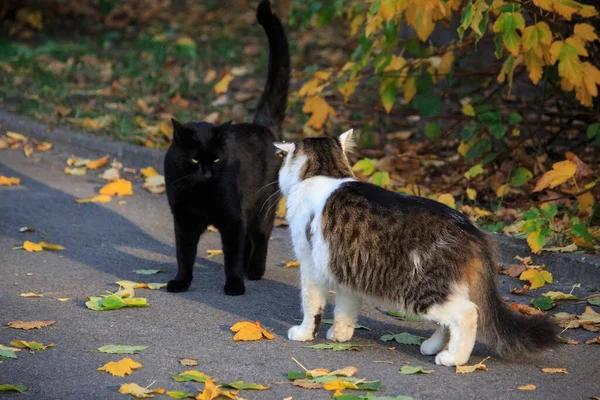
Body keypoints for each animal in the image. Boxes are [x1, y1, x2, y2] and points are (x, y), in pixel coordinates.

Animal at [163, 0, 288, 294]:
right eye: (195, 160)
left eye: (218, 160)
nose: (208, 174)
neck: (200, 193)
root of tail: (262, 127)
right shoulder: (184, 222)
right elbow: (184, 256)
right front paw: (180, 282)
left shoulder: (232, 220)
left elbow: (230, 256)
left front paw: (234, 285)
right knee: (249, 241)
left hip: (262, 206)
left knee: (260, 236)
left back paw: (254, 271)